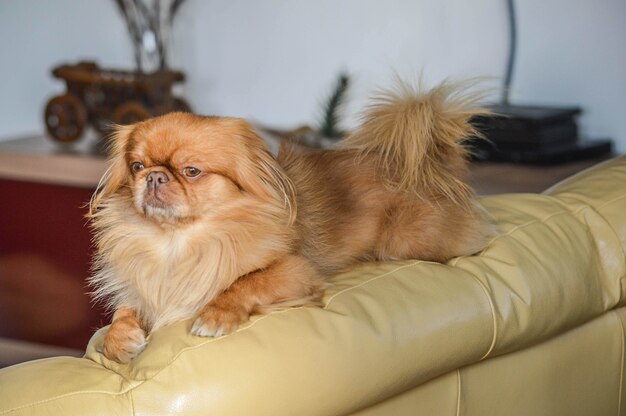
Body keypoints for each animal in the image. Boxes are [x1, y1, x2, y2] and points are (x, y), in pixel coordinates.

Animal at [86, 79, 492, 362]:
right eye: (137, 167)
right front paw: (120, 339)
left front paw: (215, 316)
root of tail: (431, 164)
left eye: (191, 171)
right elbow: (123, 312)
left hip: (406, 242)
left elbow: (246, 282)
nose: (154, 177)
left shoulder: (295, 271)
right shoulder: (141, 290)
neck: (176, 243)